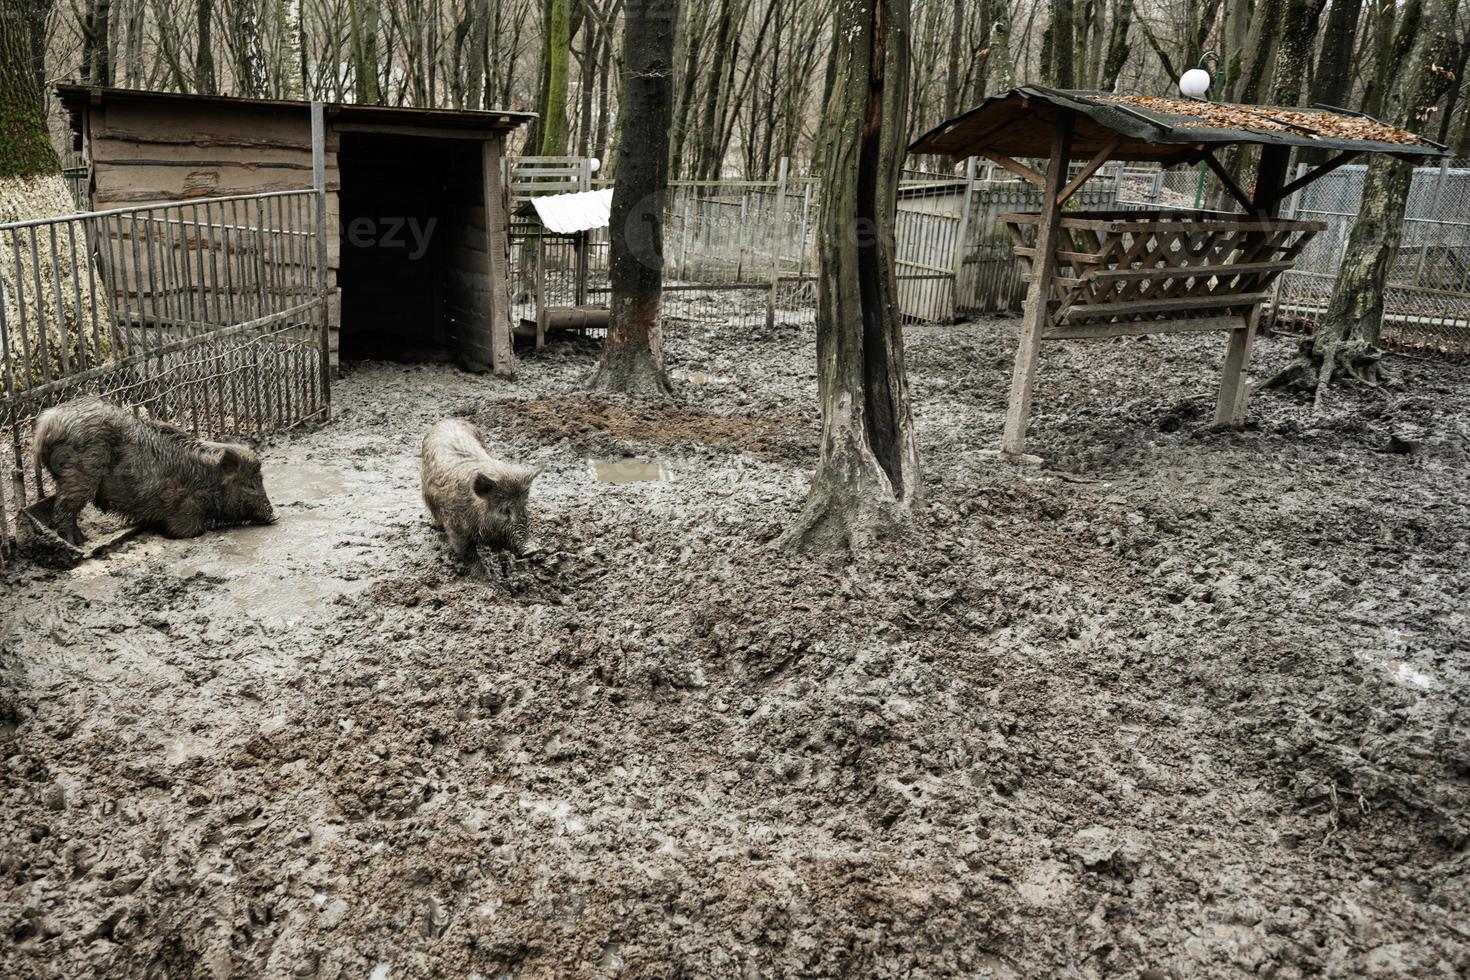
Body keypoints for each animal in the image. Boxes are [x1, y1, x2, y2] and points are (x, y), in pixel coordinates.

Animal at [30, 396, 277, 549]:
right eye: (251, 484)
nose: (275, 515)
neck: (205, 479)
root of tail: (47, 421)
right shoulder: (185, 509)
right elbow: (189, 530)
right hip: (78, 475)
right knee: (64, 508)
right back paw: (79, 542)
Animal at [420, 417, 540, 558]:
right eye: (504, 510)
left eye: (524, 506)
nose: (532, 549)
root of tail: (448, 420)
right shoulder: (456, 529)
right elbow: (469, 555)